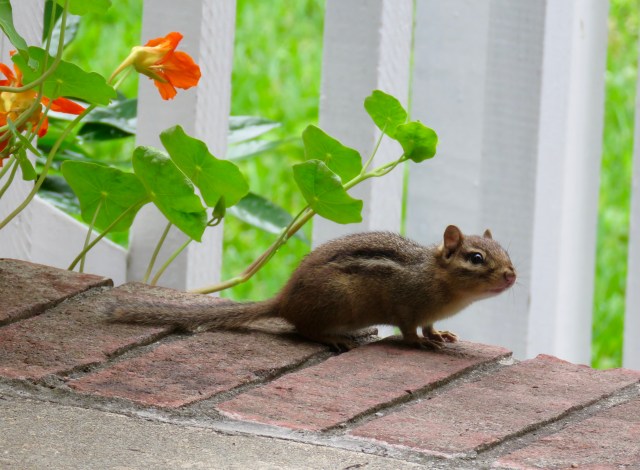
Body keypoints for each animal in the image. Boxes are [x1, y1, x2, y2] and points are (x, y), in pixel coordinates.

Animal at [108, 225, 516, 349]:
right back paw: (334, 338)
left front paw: (440, 334)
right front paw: (421, 343)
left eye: (506, 252)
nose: (512, 276)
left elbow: (431, 325)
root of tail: (285, 300)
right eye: (476, 258)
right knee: (303, 329)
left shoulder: (428, 312)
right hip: (337, 302)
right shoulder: (407, 305)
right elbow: (408, 329)